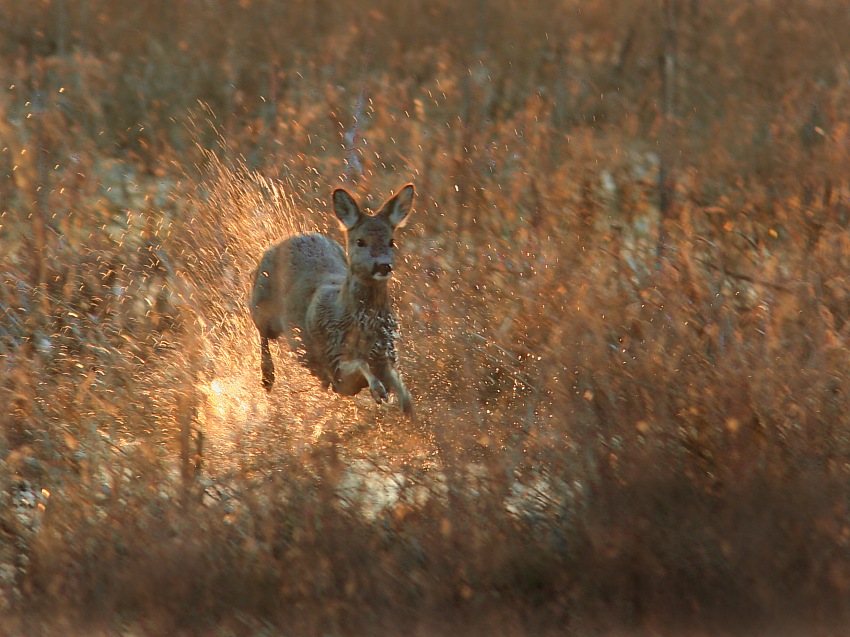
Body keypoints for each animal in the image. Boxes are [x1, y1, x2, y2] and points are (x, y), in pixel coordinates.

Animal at [248, 183, 414, 418]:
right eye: (360, 241)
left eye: (391, 241)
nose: (383, 266)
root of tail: (291, 237)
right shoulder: (333, 355)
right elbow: (359, 364)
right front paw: (378, 391)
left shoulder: (386, 353)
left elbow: (401, 387)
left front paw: (407, 409)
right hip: (262, 301)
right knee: (260, 329)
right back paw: (267, 378)